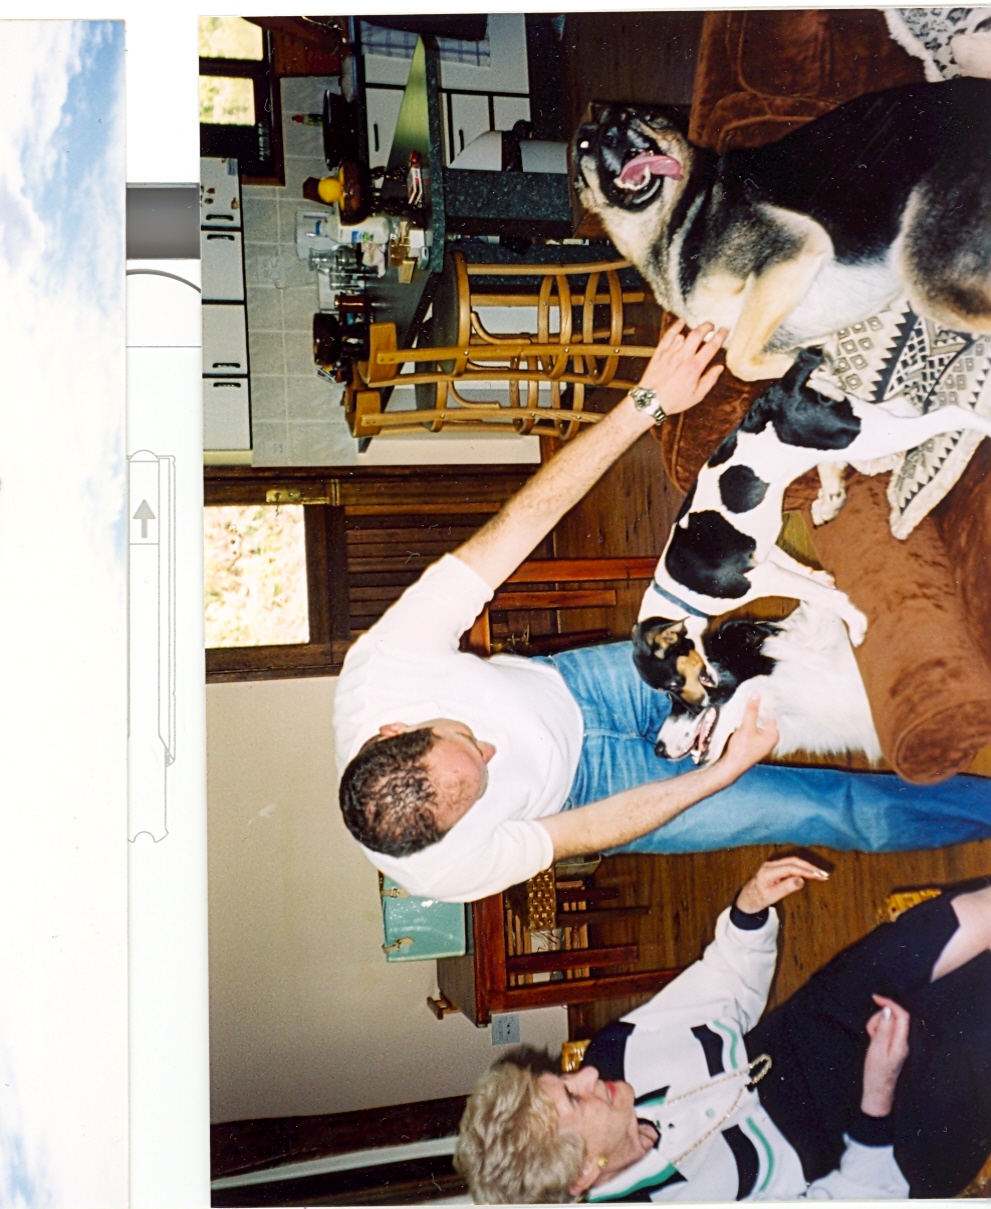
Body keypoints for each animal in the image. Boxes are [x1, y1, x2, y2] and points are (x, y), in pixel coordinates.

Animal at [572, 79, 991, 377]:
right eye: (584, 143)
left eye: (637, 116)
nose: (614, 131)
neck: (684, 208)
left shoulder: (795, 246)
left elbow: (739, 362)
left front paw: (814, 367)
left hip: (928, 280)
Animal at [633, 345, 991, 706]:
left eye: (672, 685)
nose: (700, 706)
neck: (678, 593)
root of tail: (785, 386)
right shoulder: (766, 556)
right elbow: (804, 571)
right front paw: (822, 577)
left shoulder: (764, 578)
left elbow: (825, 597)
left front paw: (856, 623)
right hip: (867, 423)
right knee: (908, 404)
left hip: (868, 436)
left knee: (950, 413)